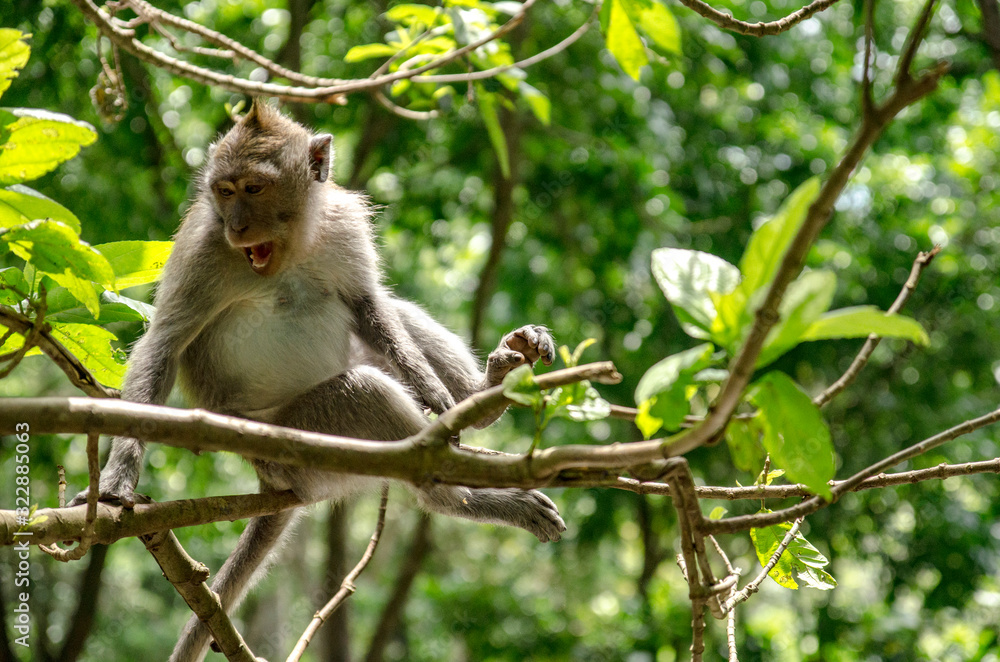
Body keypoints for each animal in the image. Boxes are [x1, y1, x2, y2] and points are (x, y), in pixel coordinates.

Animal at [72, 100, 564, 662]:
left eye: (254, 188)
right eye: (225, 191)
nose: (237, 226)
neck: (290, 248)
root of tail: (270, 481)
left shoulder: (343, 225)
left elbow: (370, 307)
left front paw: (436, 392)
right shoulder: (203, 250)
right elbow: (165, 344)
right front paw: (116, 483)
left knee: (390, 317)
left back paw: (487, 394)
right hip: (298, 448)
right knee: (364, 394)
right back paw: (455, 488)